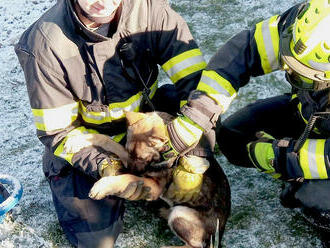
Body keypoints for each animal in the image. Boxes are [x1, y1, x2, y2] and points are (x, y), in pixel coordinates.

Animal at [85, 113, 231, 248]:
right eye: (131, 153)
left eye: (142, 158)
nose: (127, 169)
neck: (164, 152)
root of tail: (220, 233)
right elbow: (113, 144)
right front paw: (86, 138)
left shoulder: (154, 185)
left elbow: (128, 178)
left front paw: (103, 186)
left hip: (179, 213)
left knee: (196, 245)